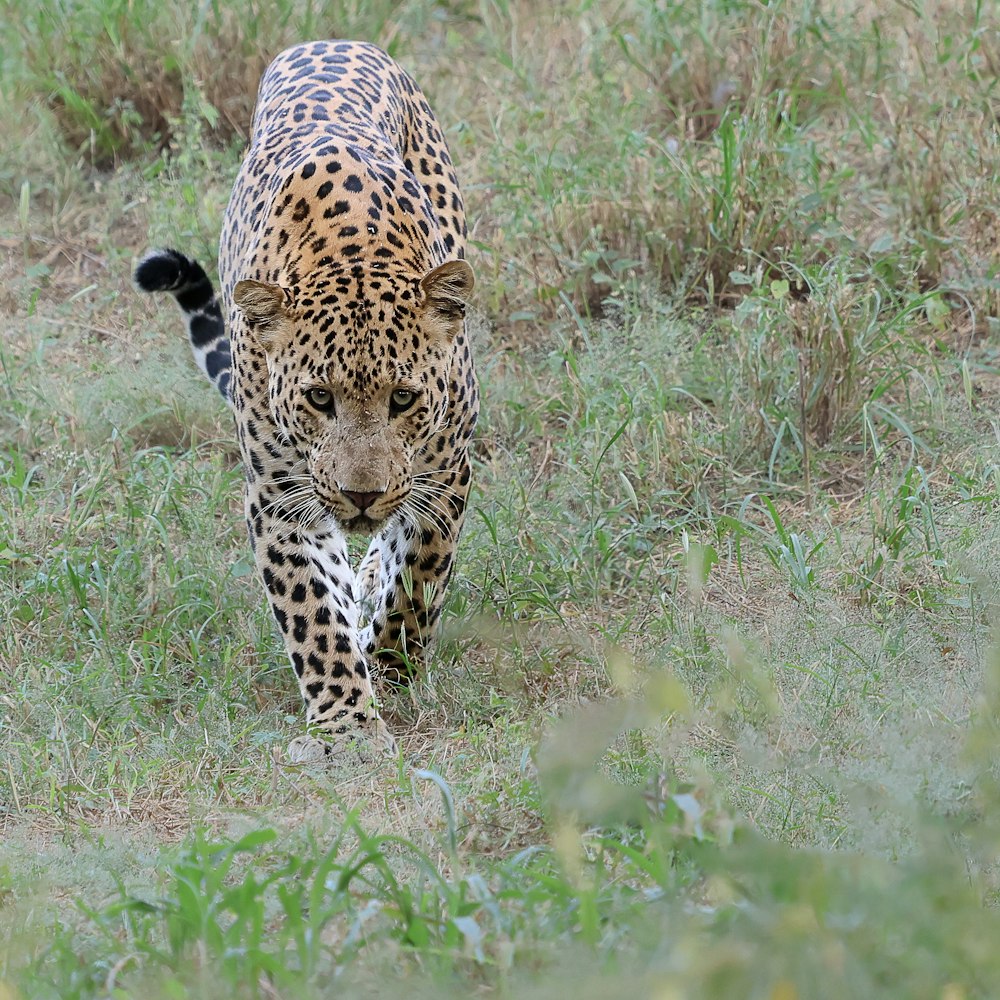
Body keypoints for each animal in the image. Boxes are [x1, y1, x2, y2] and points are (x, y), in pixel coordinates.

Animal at [135, 37, 478, 756]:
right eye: (319, 399)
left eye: (404, 399)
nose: (362, 495)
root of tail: (333, 40)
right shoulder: (279, 498)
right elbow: (314, 613)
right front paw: (347, 722)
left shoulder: (446, 471)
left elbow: (416, 577)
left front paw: (391, 667)